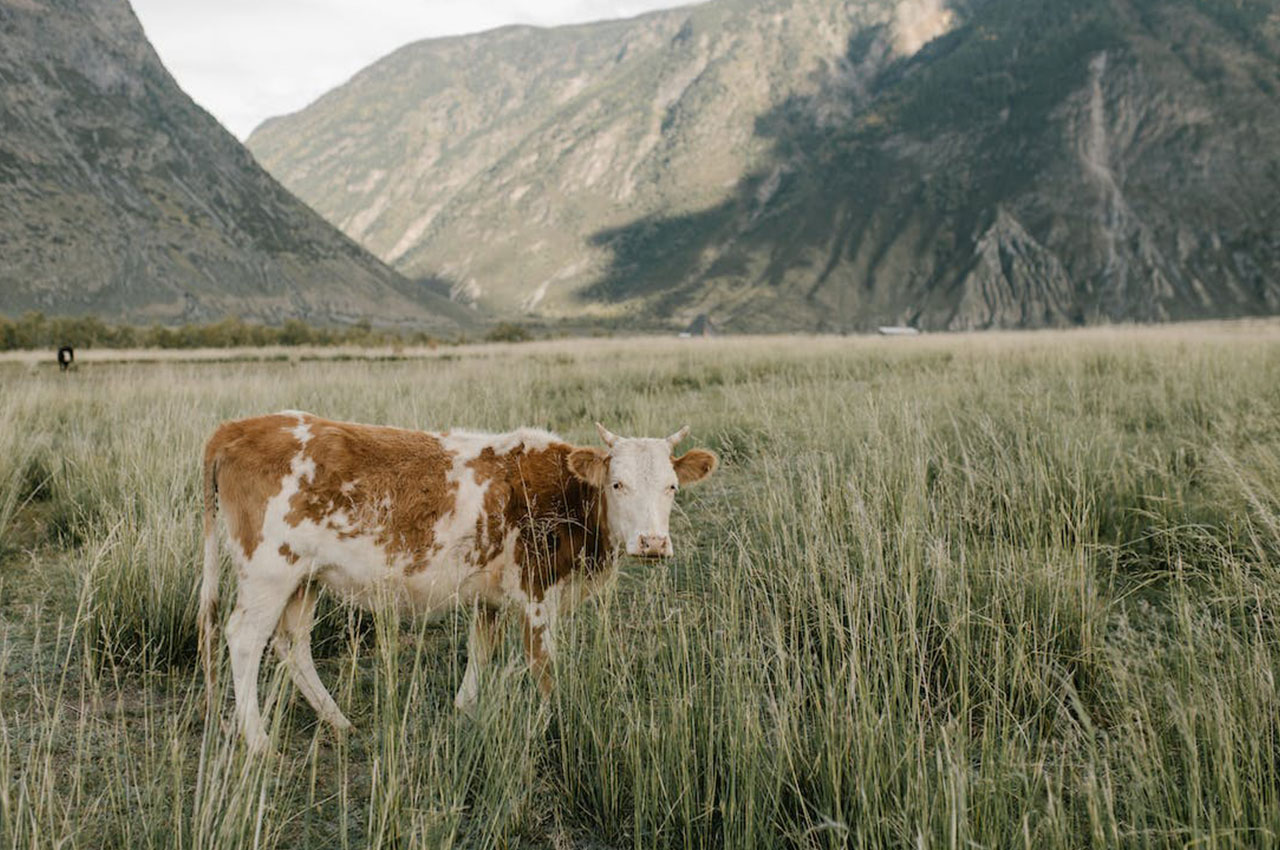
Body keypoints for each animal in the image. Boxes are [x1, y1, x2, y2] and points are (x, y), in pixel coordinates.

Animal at [199, 412, 721, 752]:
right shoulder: (535, 594)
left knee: (293, 643)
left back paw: (338, 721)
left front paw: (465, 708)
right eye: (618, 484)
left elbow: (481, 650)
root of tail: (237, 427)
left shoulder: (490, 596)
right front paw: (553, 725)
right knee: (244, 638)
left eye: (671, 487)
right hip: (269, 572)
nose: (652, 542)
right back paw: (258, 740)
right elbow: (544, 666)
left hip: (304, 578)